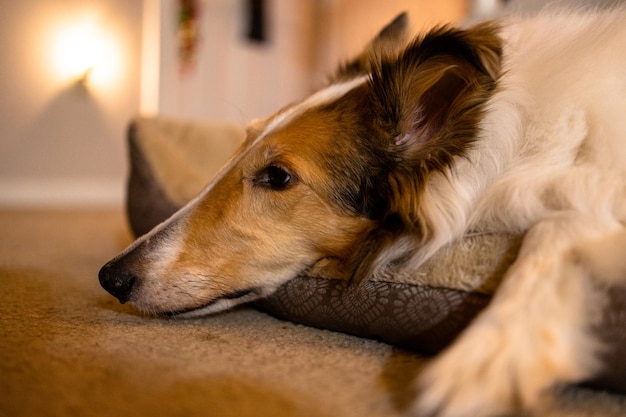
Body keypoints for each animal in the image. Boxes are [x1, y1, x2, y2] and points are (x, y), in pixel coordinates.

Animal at [100, 8, 624, 416]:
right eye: (239, 146)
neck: (507, 153)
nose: (110, 277)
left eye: (277, 177)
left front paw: (489, 357)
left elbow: (555, 226)